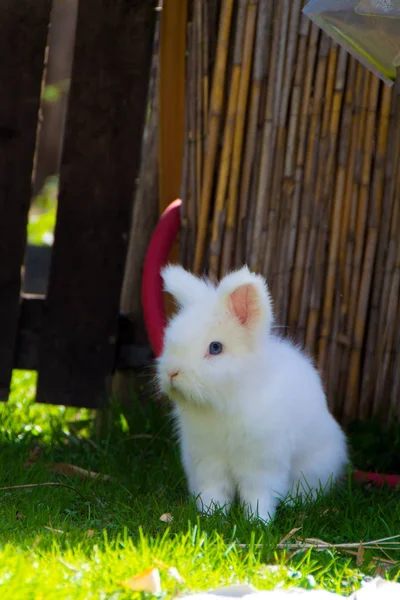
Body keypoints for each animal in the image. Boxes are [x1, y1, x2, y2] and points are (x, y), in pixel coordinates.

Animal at [156, 264, 346, 524]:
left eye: (215, 348)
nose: (172, 372)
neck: (225, 404)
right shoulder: (208, 460)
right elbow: (214, 489)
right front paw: (211, 516)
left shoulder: (261, 463)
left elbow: (258, 493)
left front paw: (258, 521)